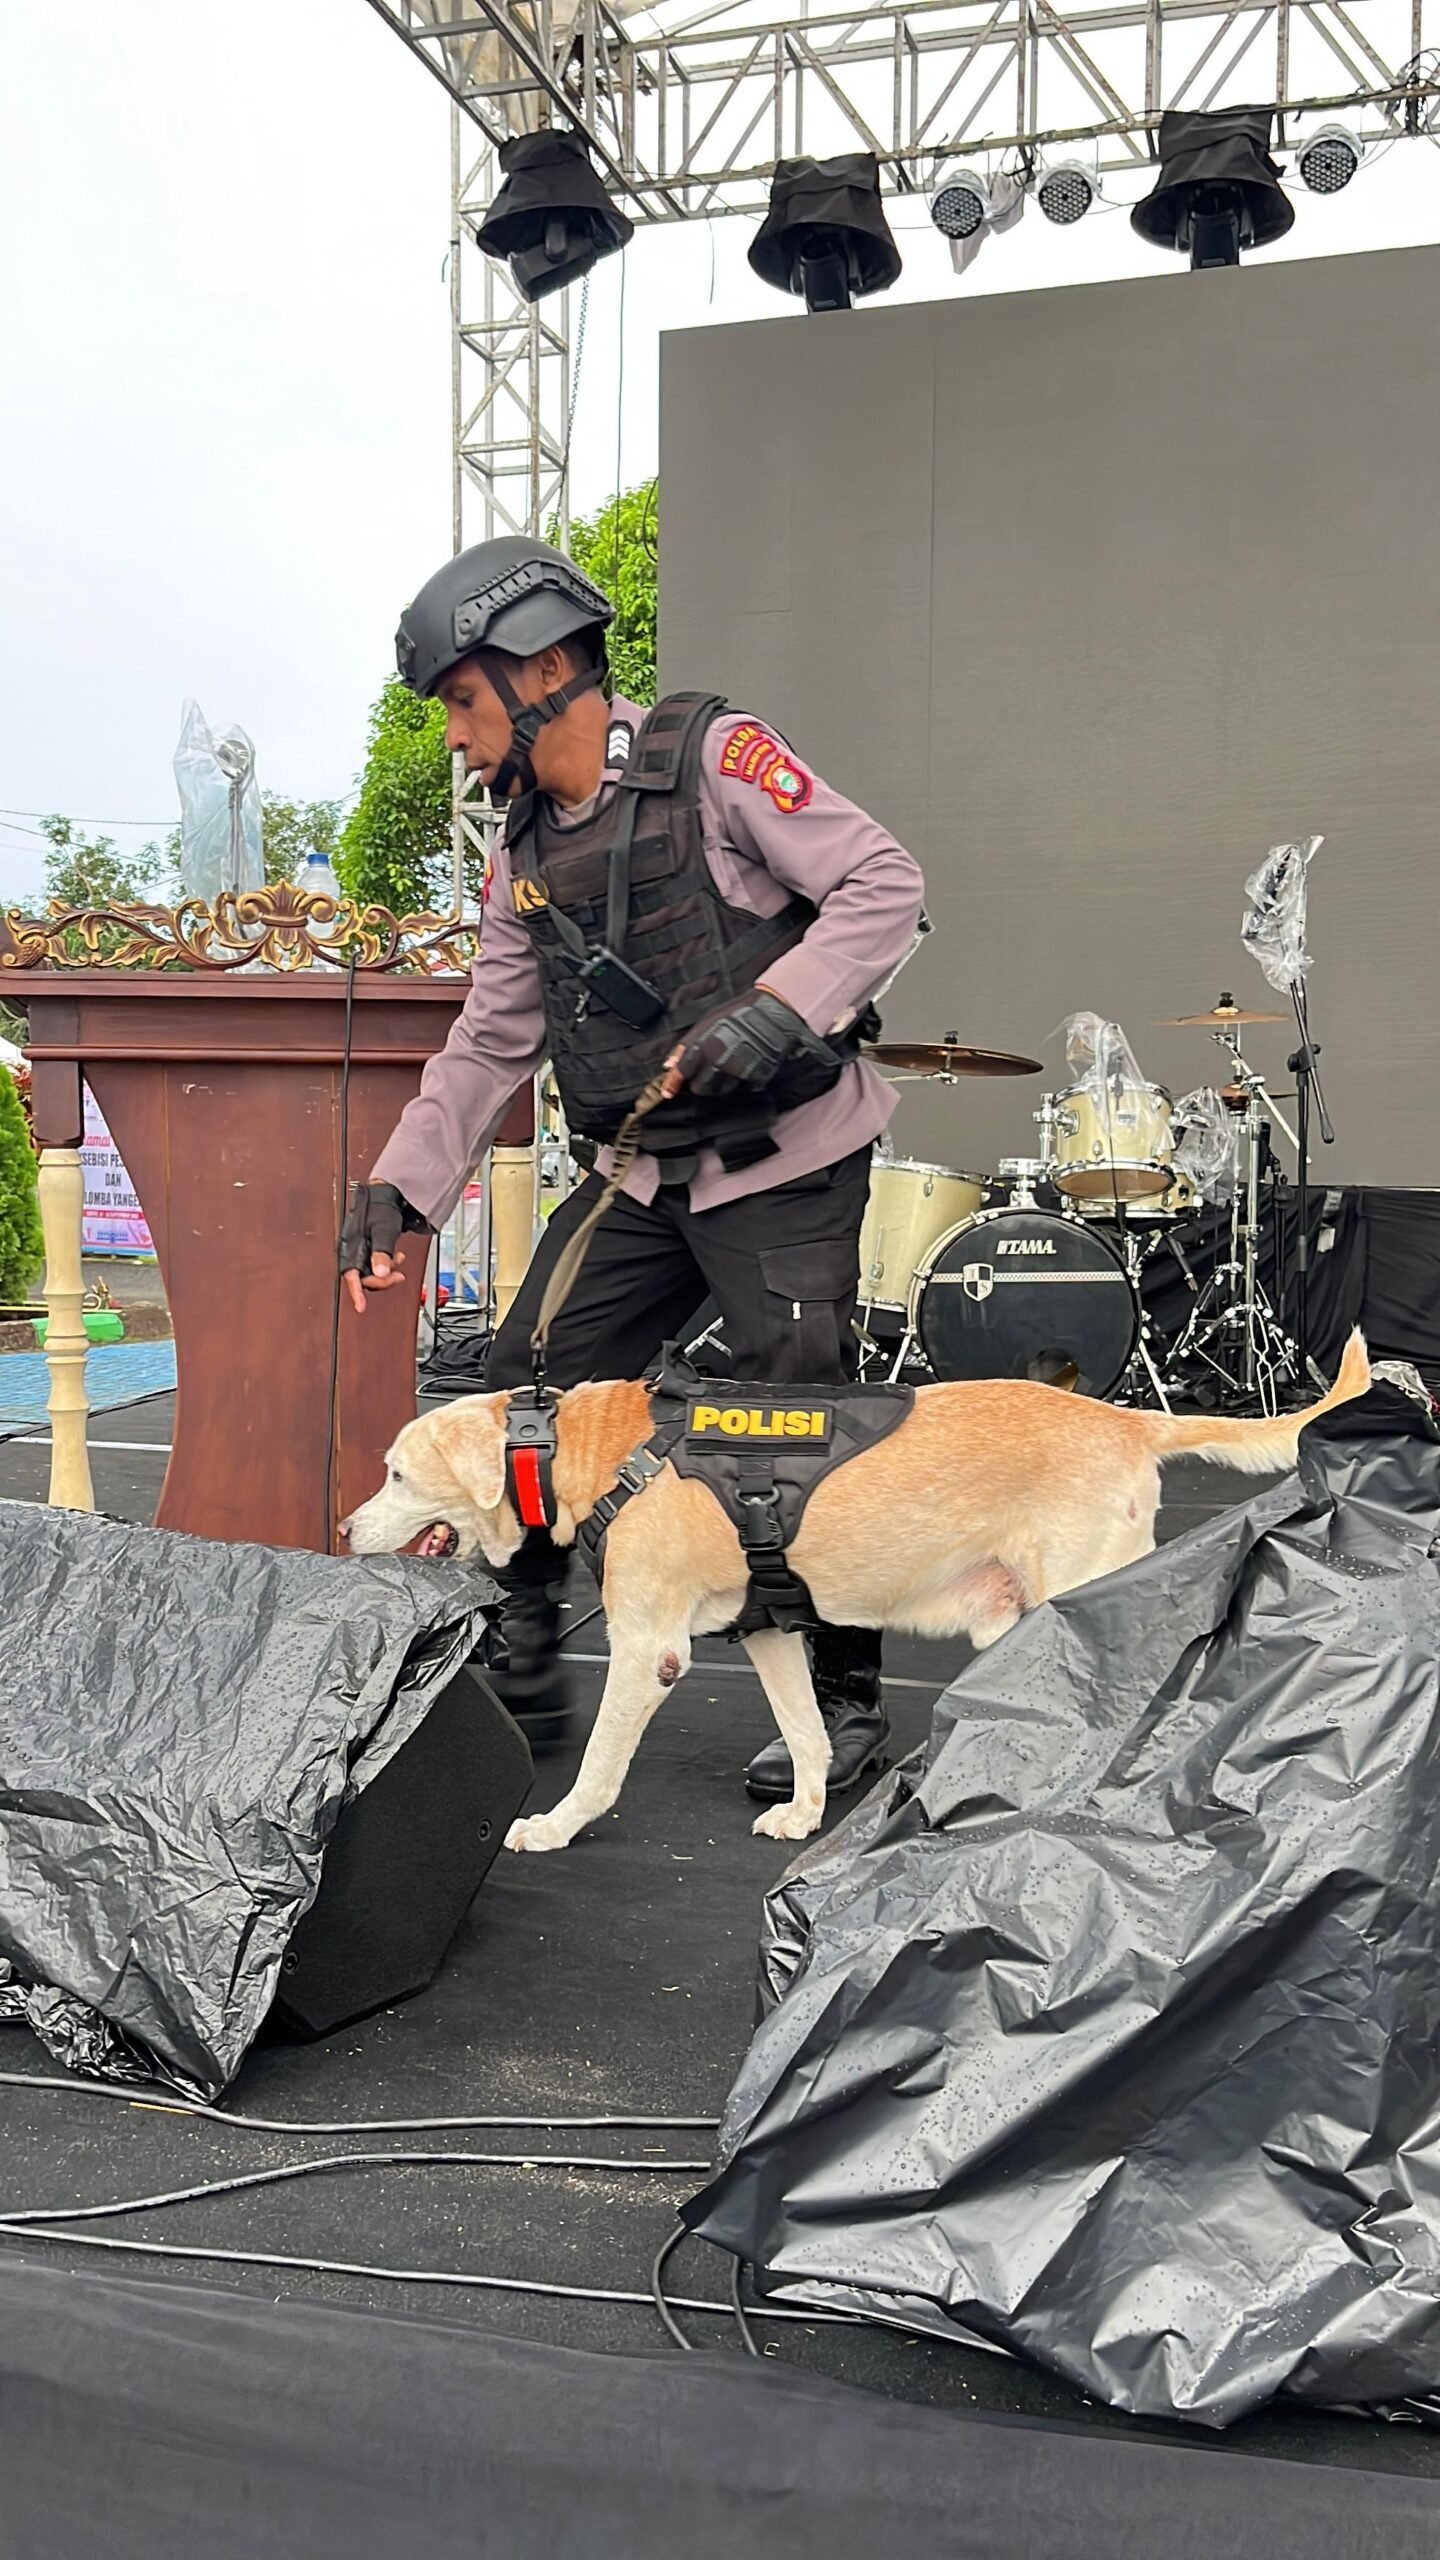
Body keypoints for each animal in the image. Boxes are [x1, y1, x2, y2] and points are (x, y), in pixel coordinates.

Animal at [342, 1332, 1370, 1855]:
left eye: (394, 1474)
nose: (345, 1532)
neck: (579, 1450)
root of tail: (1127, 1419)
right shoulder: (767, 1634)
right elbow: (804, 1733)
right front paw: (804, 1813)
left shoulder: (645, 1648)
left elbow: (599, 1765)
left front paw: (555, 1826)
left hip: (1087, 1612)